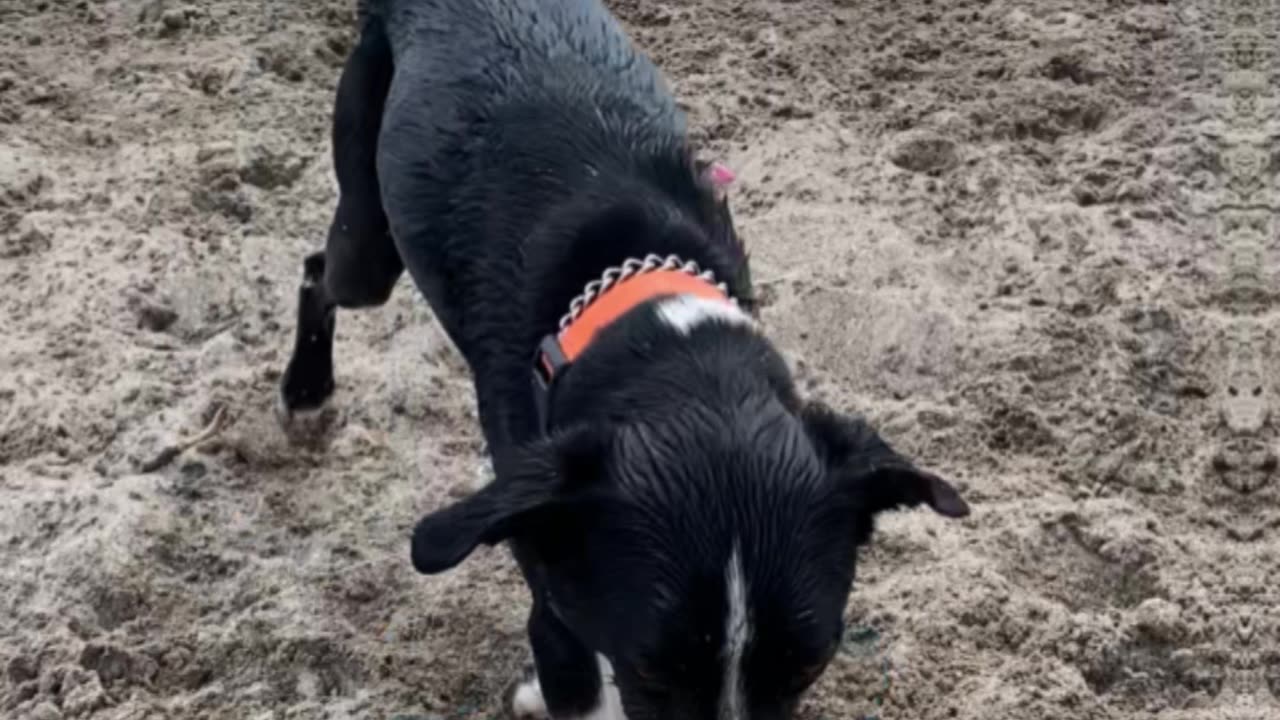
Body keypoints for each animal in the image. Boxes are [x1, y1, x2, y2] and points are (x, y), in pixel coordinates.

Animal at [280, 1, 967, 717]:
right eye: (652, 669)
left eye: (809, 665)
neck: (658, 321)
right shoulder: (556, 615)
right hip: (370, 245)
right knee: (319, 270)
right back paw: (305, 392)